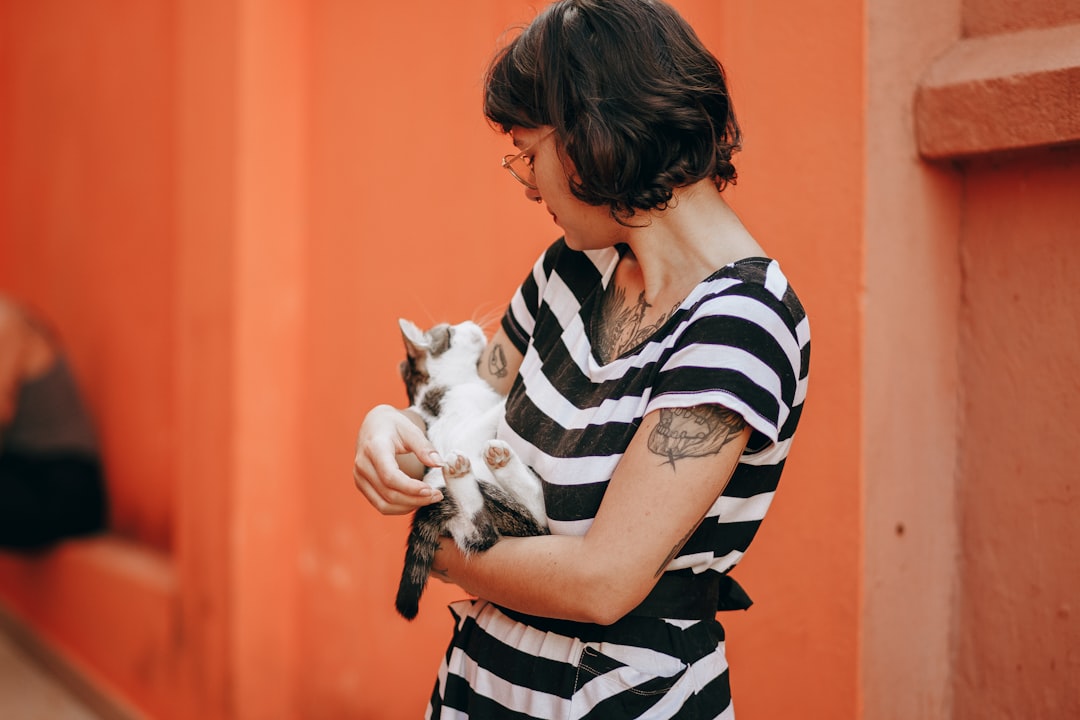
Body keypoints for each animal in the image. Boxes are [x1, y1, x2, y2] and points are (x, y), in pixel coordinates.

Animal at [395, 317, 548, 621]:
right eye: (450, 332)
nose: (470, 324)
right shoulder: (460, 432)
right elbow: (491, 413)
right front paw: (507, 399)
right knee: (502, 526)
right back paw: (483, 465)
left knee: (482, 533)